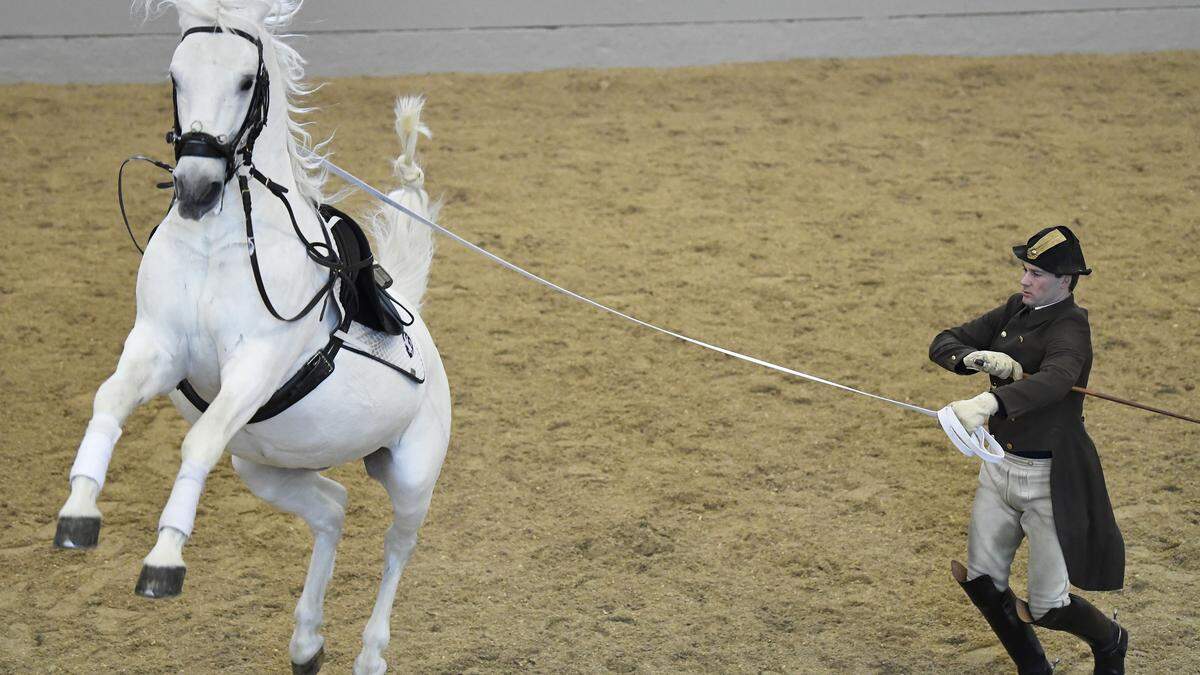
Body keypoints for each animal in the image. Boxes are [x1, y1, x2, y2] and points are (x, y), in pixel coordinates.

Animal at [51, 2, 451, 667]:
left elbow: (198, 443)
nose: (194, 188)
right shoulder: (156, 345)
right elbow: (108, 401)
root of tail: (413, 316)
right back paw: (306, 642)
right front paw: (77, 514)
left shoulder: (254, 368)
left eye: (245, 81)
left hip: (412, 476)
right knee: (333, 510)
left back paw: (369, 656)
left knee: (397, 548)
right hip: (266, 468)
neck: (218, 245)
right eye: (175, 74)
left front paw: (163, 563)